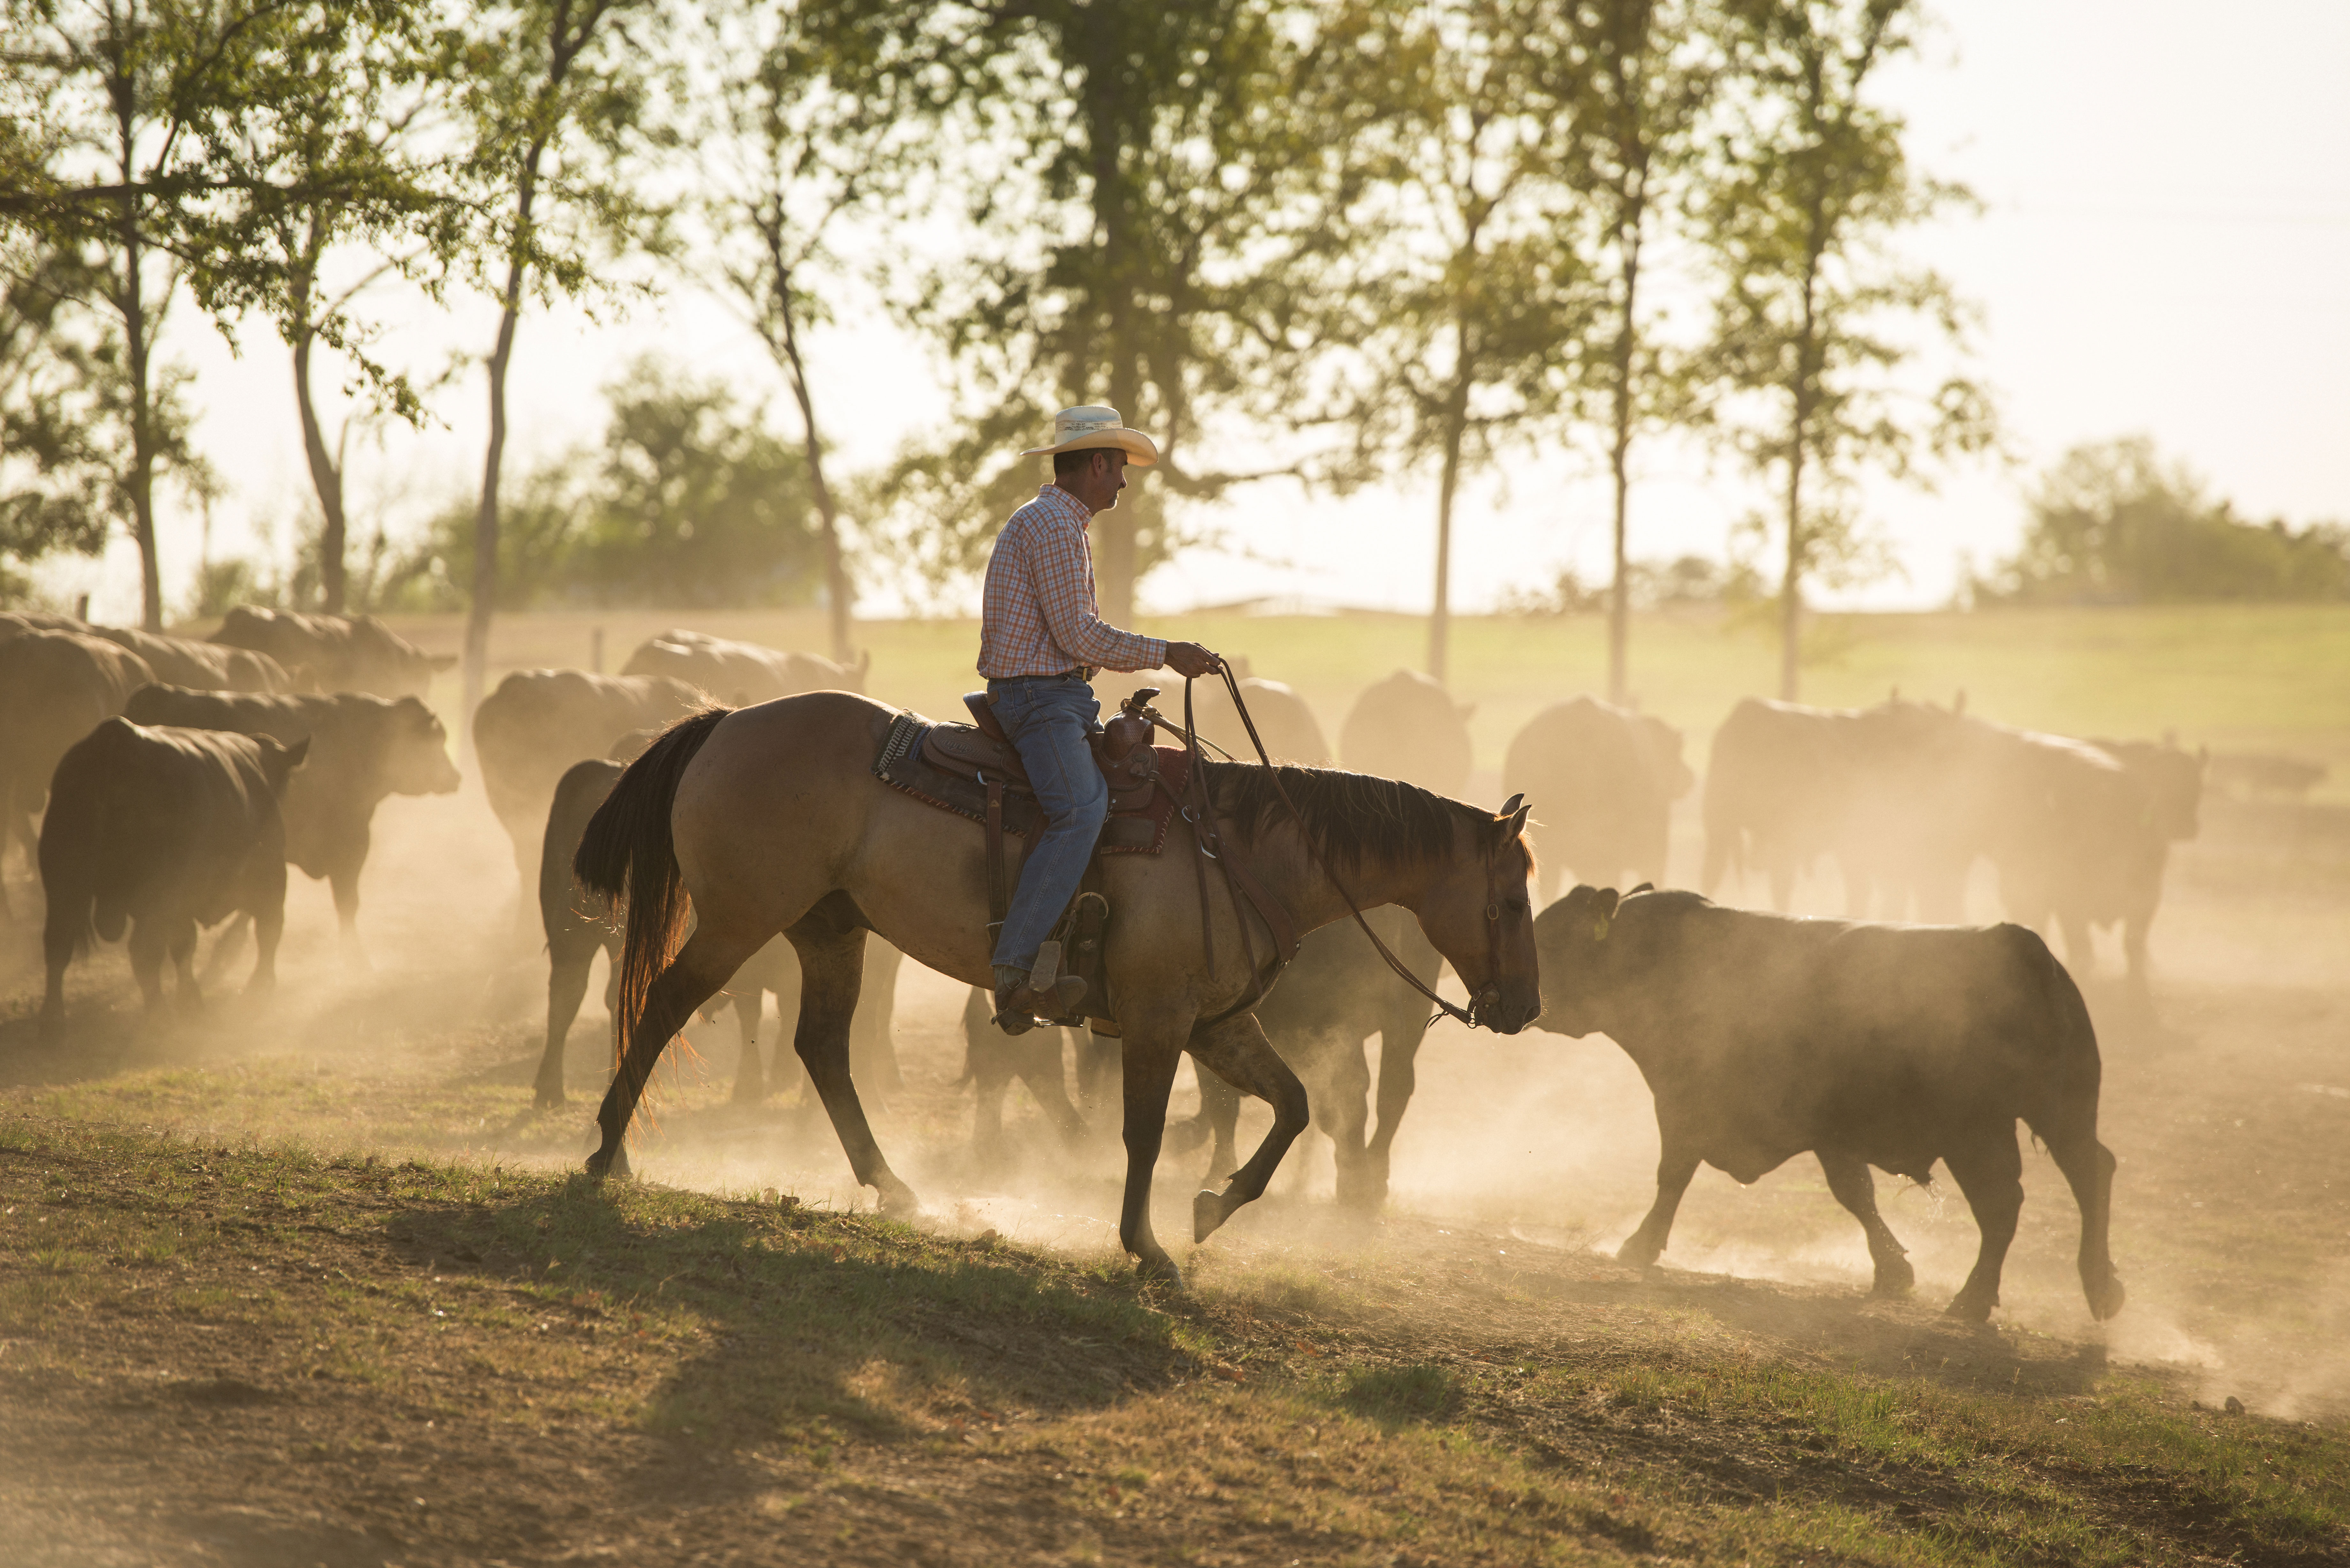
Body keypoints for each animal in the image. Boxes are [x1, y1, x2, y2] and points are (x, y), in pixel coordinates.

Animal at [39, 718, 308, 1031]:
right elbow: (268, 933)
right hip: (157, 892)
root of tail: (118, 738)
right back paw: (159, 1015)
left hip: (63, 882)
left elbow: (184, 945)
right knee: (144, 951)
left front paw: (191, 1001)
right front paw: (259, 989)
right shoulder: (271, 881)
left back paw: (52, 1019)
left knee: (58, 944)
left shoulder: (182, 903)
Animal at [534, 755, 901, 1109]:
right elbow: (755, 1015)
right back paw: (553, 1089)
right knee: (570, 998)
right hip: (573, 937)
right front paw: (752, 1086)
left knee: (605, 998)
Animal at [1530, 884, 2126, 1324]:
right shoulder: (1829, 1133)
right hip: (2062, 1112)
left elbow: (1672, 1174)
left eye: (1548, 938)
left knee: (2003, 1204)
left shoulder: (1689, 1104)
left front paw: (1639, 1245)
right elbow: (1856, 1193)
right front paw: (1893, 1271)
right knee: (2091, 1172)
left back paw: (1974, 1300)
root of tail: (2021, 944)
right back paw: (2101, 1288)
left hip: (1978, 1133)